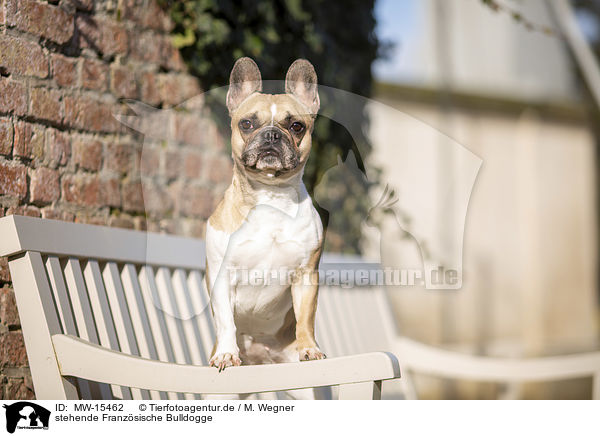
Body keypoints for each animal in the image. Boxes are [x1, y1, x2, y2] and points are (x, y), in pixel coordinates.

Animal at [206, 56, 326, 372]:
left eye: (296, 126)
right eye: (247, 123)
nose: (272, 134)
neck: (270, 194)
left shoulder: (306, 277)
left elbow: (306, 318)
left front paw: (309, 348)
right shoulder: (221, 276)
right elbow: (226, 321)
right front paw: (227, 353)